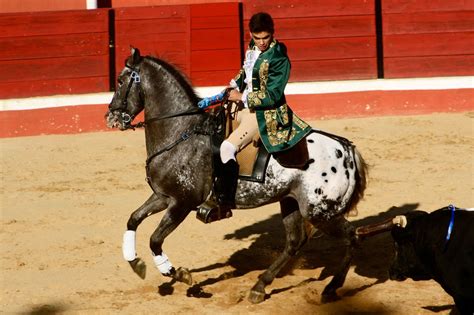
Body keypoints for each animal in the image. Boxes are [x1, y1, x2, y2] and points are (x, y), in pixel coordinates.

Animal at [105, 47, 368, 304]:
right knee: (295, 241)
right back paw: (259, 287)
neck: (181, 134)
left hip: (320, 211)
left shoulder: (182, 203)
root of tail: (346, 149)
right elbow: (133, 219)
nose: (110, 118)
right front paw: (136, 263)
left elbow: (155, 239)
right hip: (292, 203)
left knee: (352, 236)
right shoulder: (163, 196)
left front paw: (179, 274)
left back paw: (331, 288)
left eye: (120, 81)